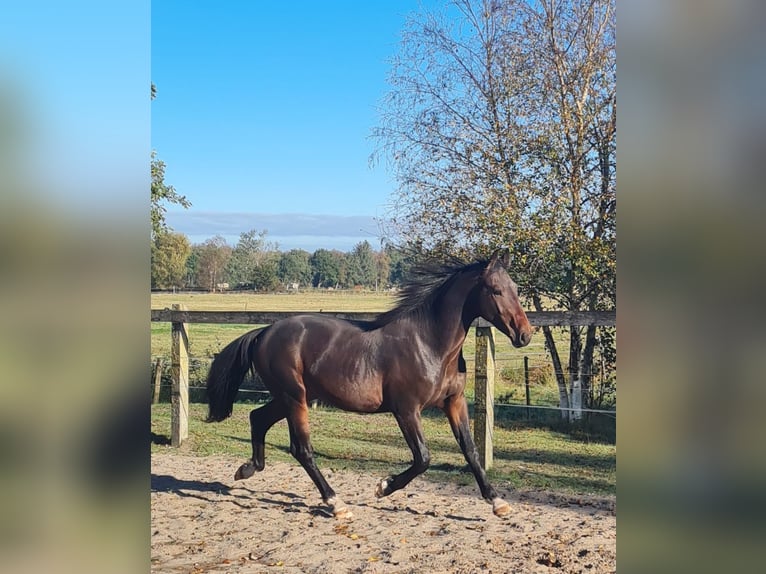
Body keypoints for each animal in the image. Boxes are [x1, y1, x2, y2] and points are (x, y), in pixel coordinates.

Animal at [208, 250, 536, 520]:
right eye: (496, 290)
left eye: (516, 289)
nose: (525, 334)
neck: (430, 344)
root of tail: (264, 332)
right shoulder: (406, 410)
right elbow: (423, 458)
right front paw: (383, 486)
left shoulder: (453, 402)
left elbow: (470, 450)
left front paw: (497, 502)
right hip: (294, 398)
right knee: (302, 449)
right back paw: (336, 503)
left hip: (291, 397)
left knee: (258, 418)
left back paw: (247, 469)